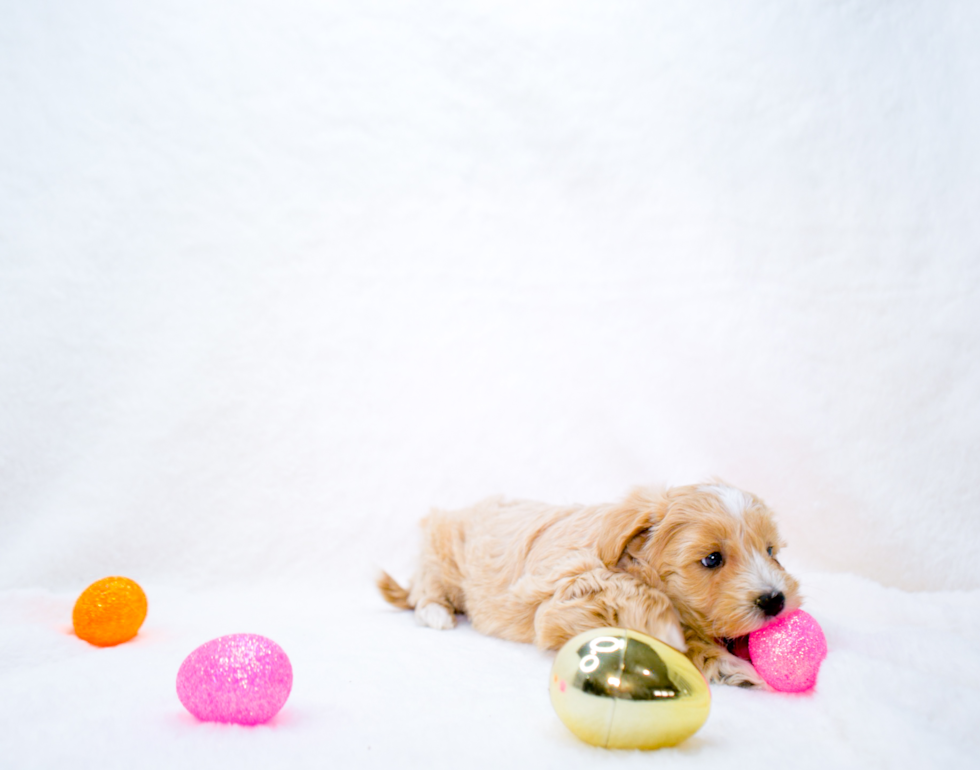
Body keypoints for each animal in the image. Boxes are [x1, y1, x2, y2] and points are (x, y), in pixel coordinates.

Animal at [378, 480, 800, 684]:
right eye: (712, 559)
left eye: (771, 551)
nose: (775, 600)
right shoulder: (563, 600)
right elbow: (635, 597)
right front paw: (669, 627)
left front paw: (730, 663)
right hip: (442, 552)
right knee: (426, 589)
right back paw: (437, 613)